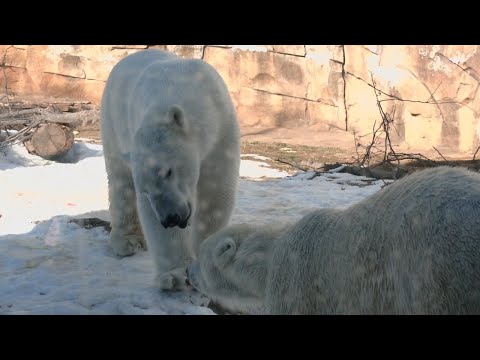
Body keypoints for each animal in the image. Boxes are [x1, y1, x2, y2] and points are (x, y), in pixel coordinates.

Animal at [101, 49, 240, 292]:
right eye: (145, 190)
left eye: (168, 171)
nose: (171, 218)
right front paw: (175, 276)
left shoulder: (222, 128)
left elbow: (215, 193)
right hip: (112, 122)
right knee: (120, 181)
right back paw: (126, 241)